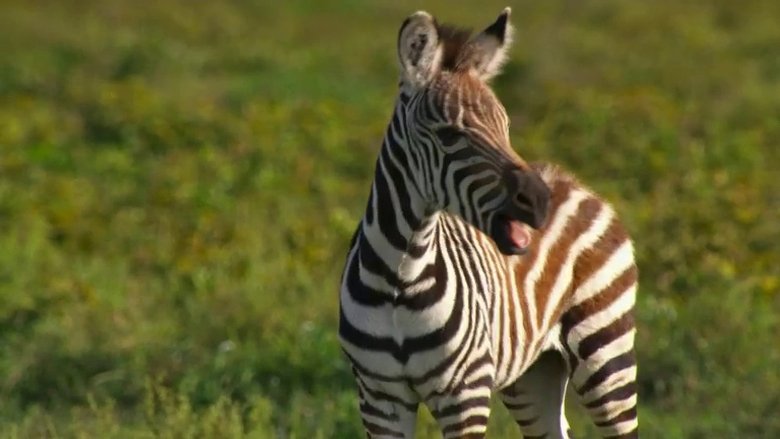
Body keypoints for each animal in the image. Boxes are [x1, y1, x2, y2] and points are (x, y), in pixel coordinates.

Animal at [339, 7, 639, 439]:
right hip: (533, 374)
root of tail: (572, 181)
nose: (540, 201)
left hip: (605, 350)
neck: (400, 275)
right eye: (449, 134)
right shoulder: (379, 398)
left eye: (506, 127)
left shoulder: (464, 394)